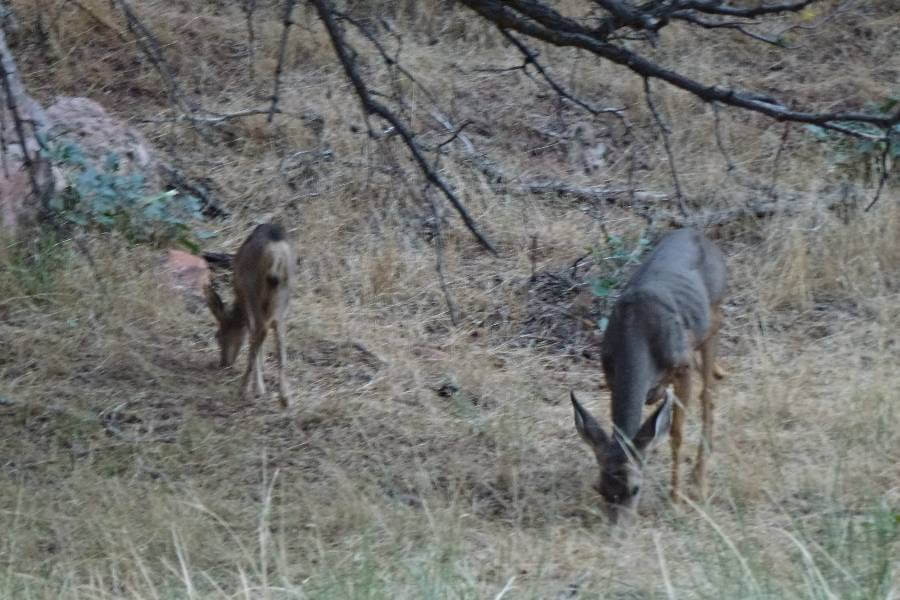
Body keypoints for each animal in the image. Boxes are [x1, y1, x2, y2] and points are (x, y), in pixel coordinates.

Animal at [203, 223, 294, 407]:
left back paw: (246, 388)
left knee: (261, 331)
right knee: (279, 337)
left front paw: (257, 385)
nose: (224, 363)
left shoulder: (245, 298)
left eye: (218, 336)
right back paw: (285, 397)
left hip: (254, 291)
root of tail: (277, 254)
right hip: (283, 294)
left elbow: (250, 334)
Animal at [571, 228, 727, 524]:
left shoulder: (682, 366)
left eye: (635, 489)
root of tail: (698, 234)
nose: (617, 528)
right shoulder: (610, 374)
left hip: (713, 319)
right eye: (599, 488)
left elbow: (676, 433)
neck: (637, 333)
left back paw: (700, 481)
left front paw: (676, 500)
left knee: (708, 395)